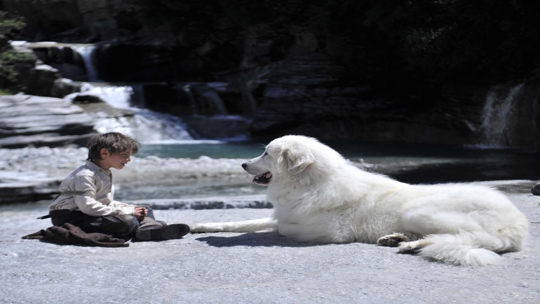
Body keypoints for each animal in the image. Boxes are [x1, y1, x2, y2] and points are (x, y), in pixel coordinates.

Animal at [192, 135, 528, 266]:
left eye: (265, 153)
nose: (242, 164)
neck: (308, 184)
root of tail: (516, 225)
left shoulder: (327, 231)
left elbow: (281, 228)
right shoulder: (282, 213)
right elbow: (247, 222)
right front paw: (201, 228)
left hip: (422, 212)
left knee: (465, 238)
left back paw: (410, 244)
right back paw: (399, 240)